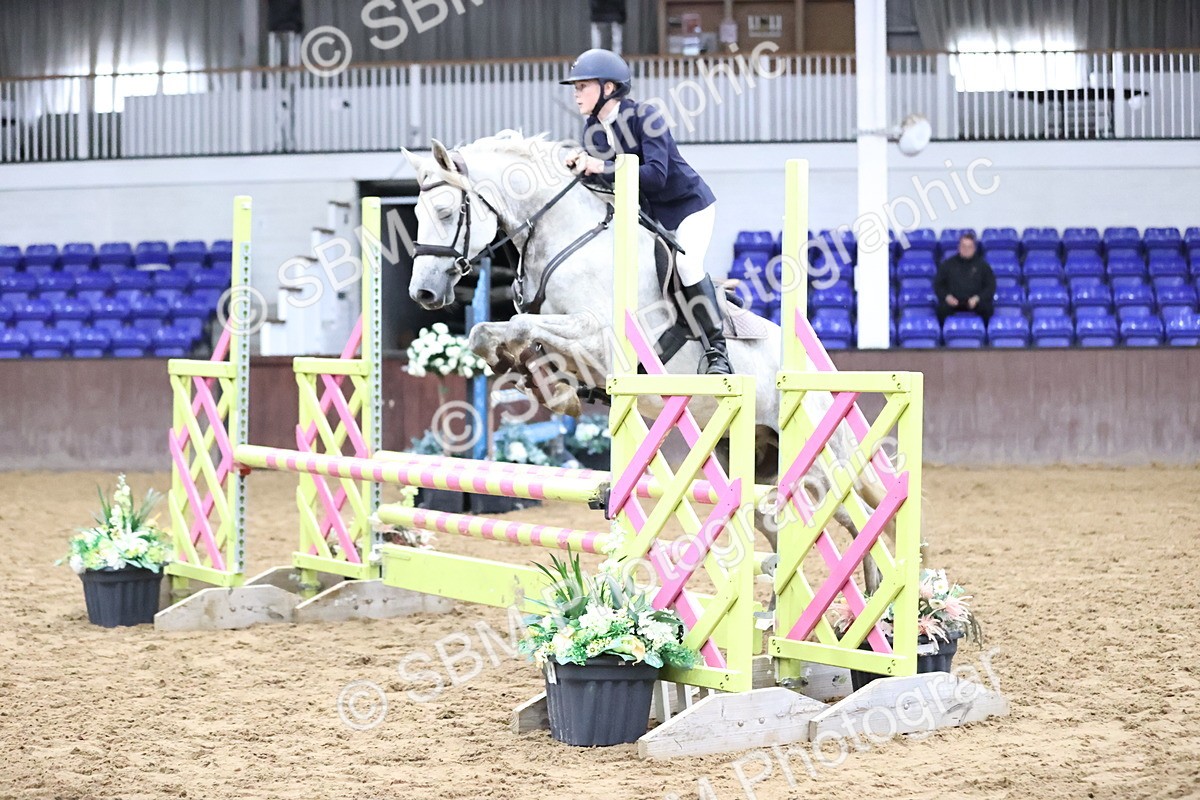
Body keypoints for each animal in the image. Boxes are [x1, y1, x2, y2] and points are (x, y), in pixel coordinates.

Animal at [401, 132, 891, 589]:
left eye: (445, 212)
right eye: (417, 216)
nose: (423, 293)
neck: (566, 237)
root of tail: (820, 371)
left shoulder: (599, 338)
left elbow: (523, 328)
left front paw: (551, 389)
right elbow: (497, 334)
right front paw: (537, 380)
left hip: (817, 461)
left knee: (858, 514)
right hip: (756, 460)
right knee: (786, 521)